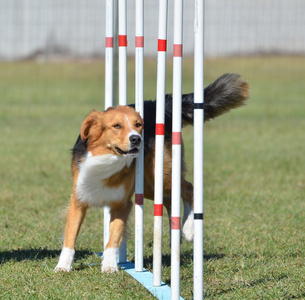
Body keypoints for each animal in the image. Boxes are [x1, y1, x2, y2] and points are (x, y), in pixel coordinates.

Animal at [55, 72, 247, 272]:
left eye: (138, 125)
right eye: (117, 126)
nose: (137, 139)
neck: (107, 158)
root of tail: (159, 105)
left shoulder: (122, 204)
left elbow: (114, 237)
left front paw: (109, 265)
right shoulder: (78, 200)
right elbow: (70, 236)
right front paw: (63, 265)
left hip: (160, 176)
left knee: (188, 188)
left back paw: (188, 229)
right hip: (148, 186)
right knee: (169, 201)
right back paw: (175, 236)